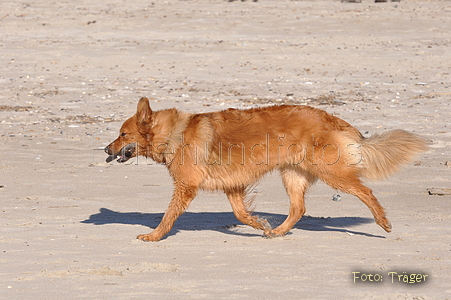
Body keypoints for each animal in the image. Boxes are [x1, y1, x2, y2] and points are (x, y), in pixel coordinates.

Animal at [104, 97, 430, 243]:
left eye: (122, 134)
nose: (106, 150)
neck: (174, 134)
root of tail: (332, 118)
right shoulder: (232, 186)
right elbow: (241, 214)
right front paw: (260, 224)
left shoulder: (186, 187)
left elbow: (168, 215)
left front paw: (155, 235)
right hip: (293, 176)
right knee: (298, 209)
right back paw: (278, 231)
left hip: (332, 174)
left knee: (366, 191)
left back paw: (383, 221)